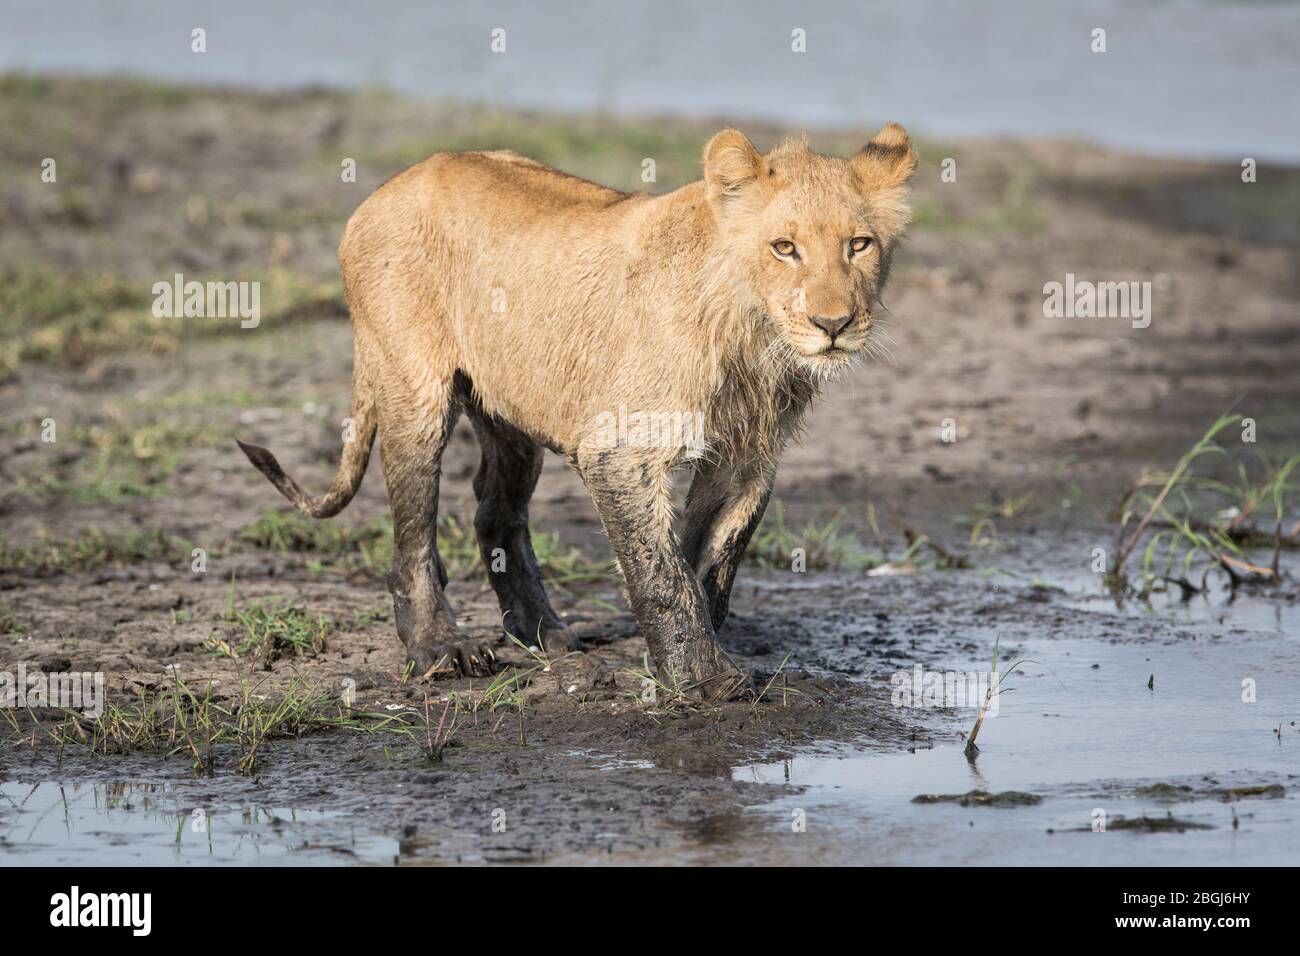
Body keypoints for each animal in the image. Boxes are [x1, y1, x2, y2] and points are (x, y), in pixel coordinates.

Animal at [239, 123, 920, 697]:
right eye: (784, 248)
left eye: (859, 245)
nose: (833, 324)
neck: (755, 337)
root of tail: (386, 189)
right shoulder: (620, 448)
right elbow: (662, 575)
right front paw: (701, 683)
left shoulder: (747, 456)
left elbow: (711, 565)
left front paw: (690, 656)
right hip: (413, 387)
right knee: (413, 533)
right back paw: (439, 649)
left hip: (511, 410)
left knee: (495, 511)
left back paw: (545, 635)